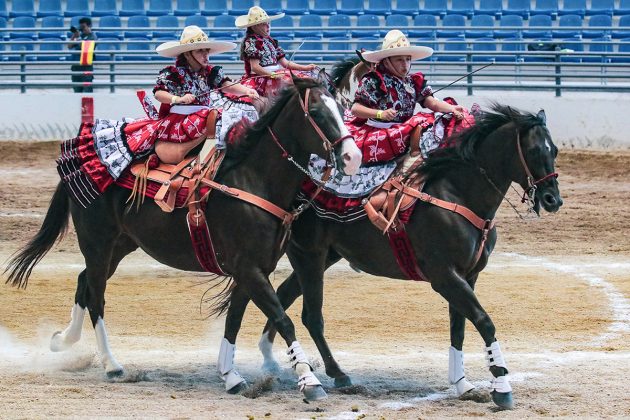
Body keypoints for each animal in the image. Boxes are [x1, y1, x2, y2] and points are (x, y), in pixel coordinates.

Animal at [4, 77, 362, 402]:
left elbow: (234, 320)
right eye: (316, 111)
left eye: (341, 107)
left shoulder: (253, 269)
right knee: (96, 297)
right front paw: (309, 381)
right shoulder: (248, 269)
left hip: (120, 245)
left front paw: (231, 376)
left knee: (84, 283)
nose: (352, 157)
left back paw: (62, 340)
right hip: (97, 242)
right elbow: (282, 319)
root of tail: (78, 163)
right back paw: (111, 365)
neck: (252, 181)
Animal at [254, 103, 564, 408]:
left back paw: (272, 361)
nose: (553, 200)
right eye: (534, 151)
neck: (457, 193)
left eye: (555, 151)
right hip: (309, 255)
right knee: (309, 314)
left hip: (323, 256)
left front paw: (462, 384)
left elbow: (459, 328)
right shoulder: (445, 277)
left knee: (283, 296)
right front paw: (502, 387)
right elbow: (483, 321)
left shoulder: (467, 276)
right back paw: (331, 374)